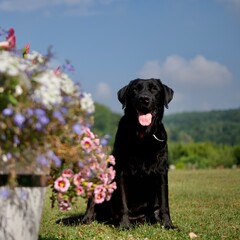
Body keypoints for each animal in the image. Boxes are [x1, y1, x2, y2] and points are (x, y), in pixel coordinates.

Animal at [82, 78, 174, 229]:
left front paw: (168, 224)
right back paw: (86, 219)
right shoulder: (121, 172)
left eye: (155, 89)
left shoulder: (162, 172)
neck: (143, 138)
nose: (144, 98)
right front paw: (124, 225)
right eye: (135, 89)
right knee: (92, 202)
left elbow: (164, 203)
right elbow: (123, 203)